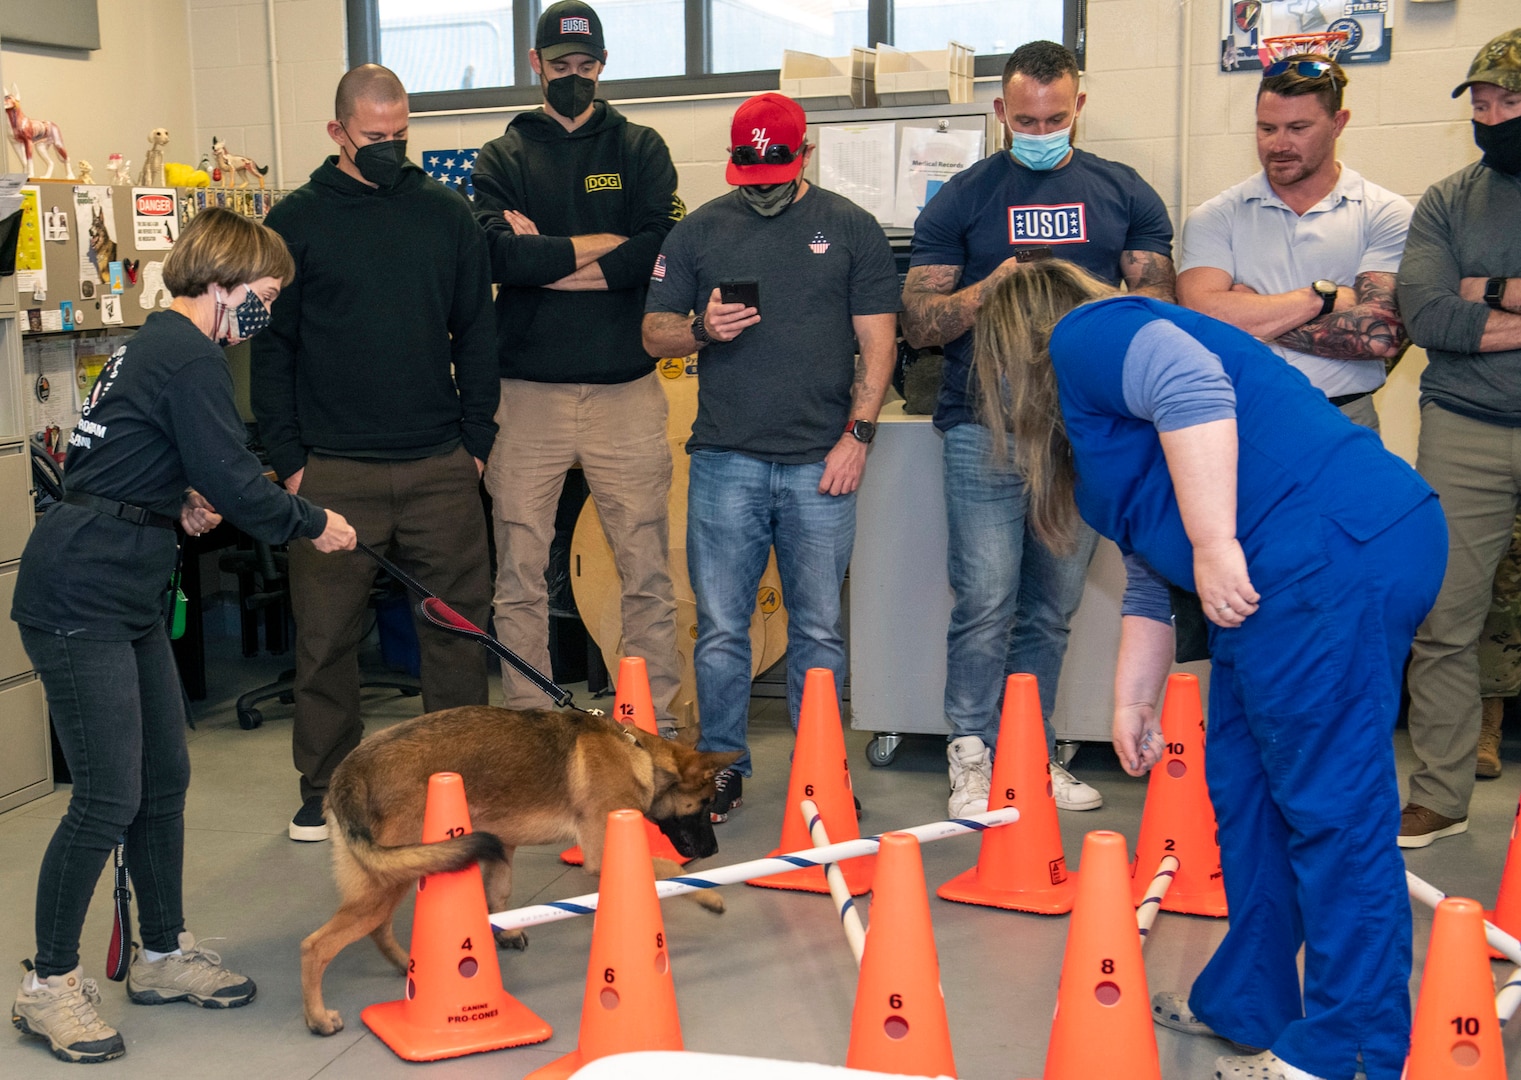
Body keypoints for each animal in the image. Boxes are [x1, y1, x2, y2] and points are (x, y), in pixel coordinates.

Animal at [298, 705, 736, 1034]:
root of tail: (348, 773)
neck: (637, 751)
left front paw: (505, 932)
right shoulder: (603, 850)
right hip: (391, 879)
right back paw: (317, 1018)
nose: (714, 850)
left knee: (377, 928)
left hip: (391, 877)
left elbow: (499, 894)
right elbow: (667, 866)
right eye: (704, 803)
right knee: (316, 946)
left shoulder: (503, 847)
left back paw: (409, 965)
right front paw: (710, 895)